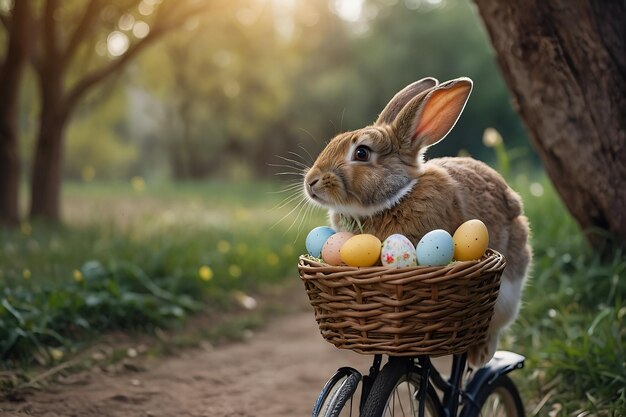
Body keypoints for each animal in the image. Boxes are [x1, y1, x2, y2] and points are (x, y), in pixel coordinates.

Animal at [302, 76, 532, 366]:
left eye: (362, 153)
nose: (311, 182)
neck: (396, 197)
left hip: (508, 291)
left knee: (493, 327)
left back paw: (479, 356)